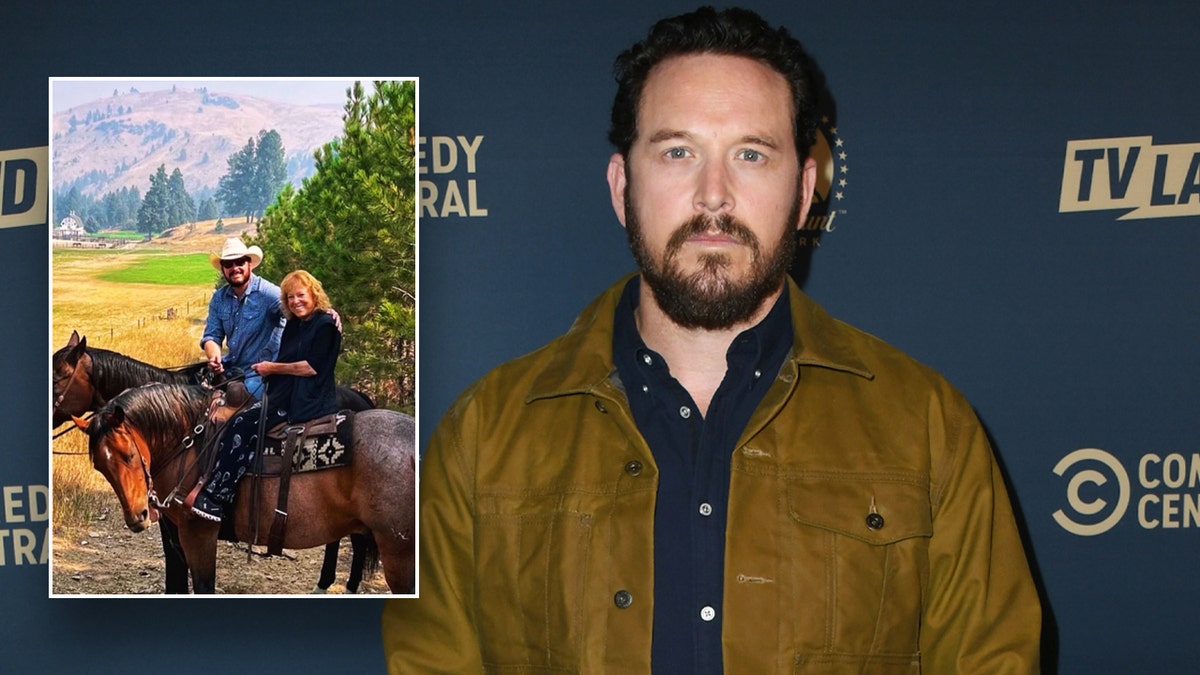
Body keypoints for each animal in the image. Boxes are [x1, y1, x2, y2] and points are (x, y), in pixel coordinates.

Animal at [73, 381, 417, 590]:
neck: (190, 441)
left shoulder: (197, 533)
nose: (137, 517)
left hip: (398, 552)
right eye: (100, 466)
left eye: (129, 455)